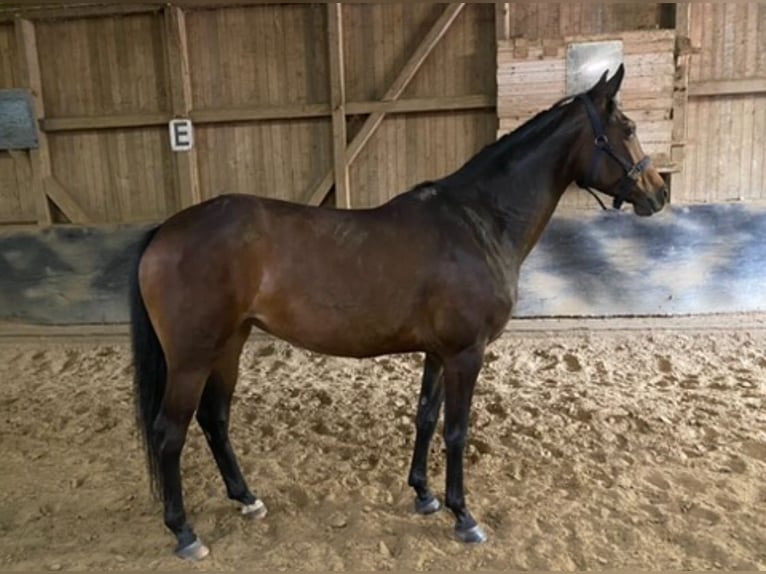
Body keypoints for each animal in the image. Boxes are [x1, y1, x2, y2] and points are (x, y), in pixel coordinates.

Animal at [129, 65, 667, 560]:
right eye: (629, 129)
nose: (659, 192)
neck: (478, 222)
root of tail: (165, 231)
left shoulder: (440, 352)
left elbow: (426, 417)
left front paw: (424, 495)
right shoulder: (467, 354)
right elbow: (457, 430)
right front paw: (463, 516)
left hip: (230, 344)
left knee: (215, 419)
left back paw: (246, 498)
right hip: (191, 359)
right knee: (169, 432)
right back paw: (185, 533)